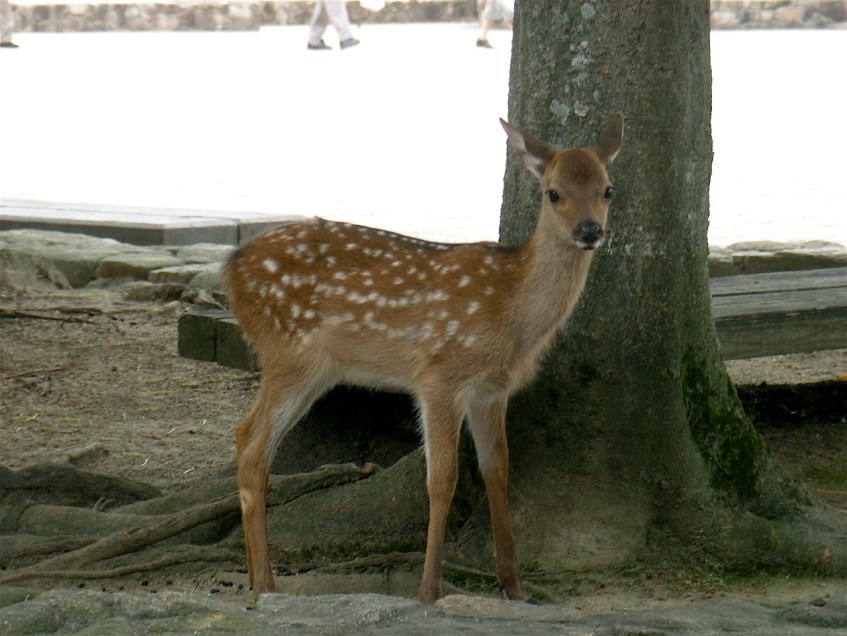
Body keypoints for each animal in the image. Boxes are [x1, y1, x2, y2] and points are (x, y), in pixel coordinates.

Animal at [223, 114, 623, 604]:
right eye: (553, 192)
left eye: (607, 189)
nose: (589, 231)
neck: (510, 311)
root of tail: (229, 269)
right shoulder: (440, 376)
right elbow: (442, 479)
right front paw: (429, 590)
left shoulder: (491, 390)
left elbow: (497, 471)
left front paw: (515, 587)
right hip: (288, 351)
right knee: (251, 441)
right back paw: (263, 583)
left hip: (314, 368)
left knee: (253, 443)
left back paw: (259, 579)